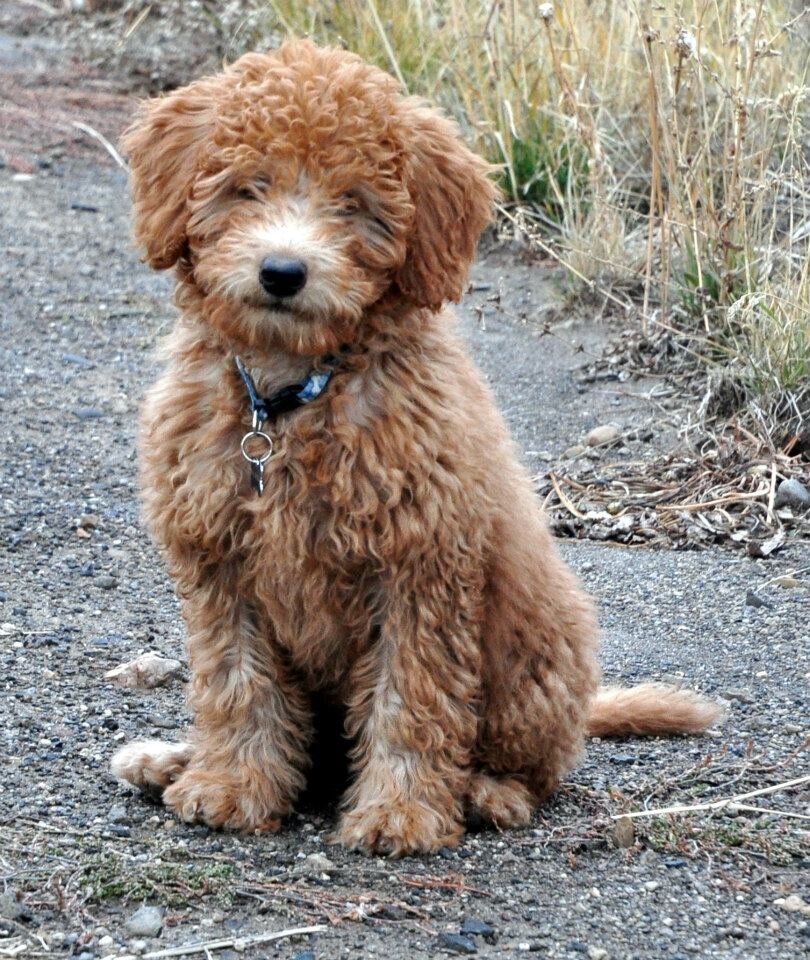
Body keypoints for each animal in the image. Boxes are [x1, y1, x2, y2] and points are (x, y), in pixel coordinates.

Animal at [109, 39, 720, 856]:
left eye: (353, 203)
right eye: (247, 188)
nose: (282, 272)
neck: (294, 400)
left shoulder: (421, 567)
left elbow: (414, 697)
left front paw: (400, 811)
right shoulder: (220, 564)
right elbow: (236, 685)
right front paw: (231, 783)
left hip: (535, 653)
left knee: (537, 763)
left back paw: (489, 792)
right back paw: (167, 759)